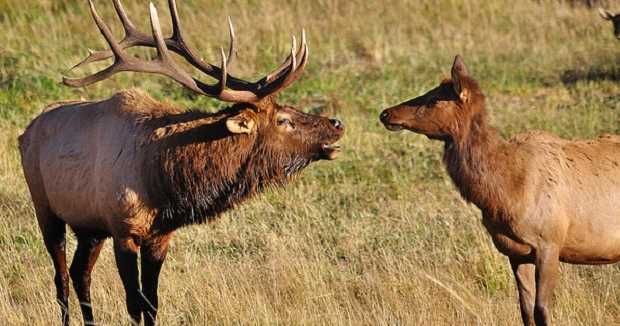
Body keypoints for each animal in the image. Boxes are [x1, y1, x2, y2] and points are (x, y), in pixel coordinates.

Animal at [19, 1, 344, 324]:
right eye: (283, 120)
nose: (336, 123)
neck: (160, 182)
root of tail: (25, 131)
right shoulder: (123, 229)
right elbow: (133, 304)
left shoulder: (159, 234)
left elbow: (151, 302)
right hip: (45, 207)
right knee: (61, 277)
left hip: (90, 227)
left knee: (80, 273)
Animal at [380, 54, 620, 324]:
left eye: (433, 99)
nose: (386, 113)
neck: (504, 192)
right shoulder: (515, 252)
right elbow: (525, 310)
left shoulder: (550, 241)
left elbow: (541, 309)